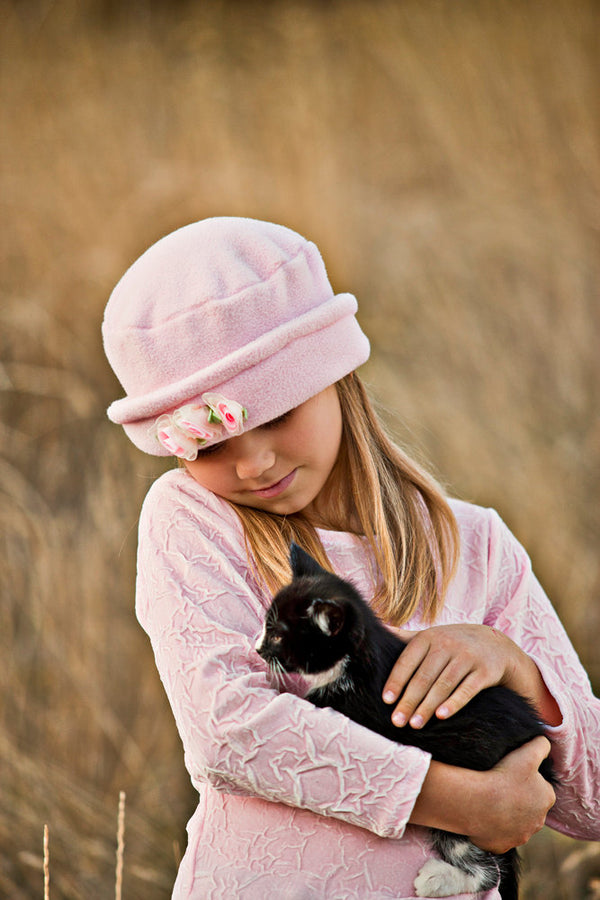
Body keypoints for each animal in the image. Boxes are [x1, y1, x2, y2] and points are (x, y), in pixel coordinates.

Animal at [255, 540, 556, 900]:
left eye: (277, 636)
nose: (258, 649)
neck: (359, 658)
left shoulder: (357, 707)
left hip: (473, 815)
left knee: (488, 870)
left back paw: (435, 879)